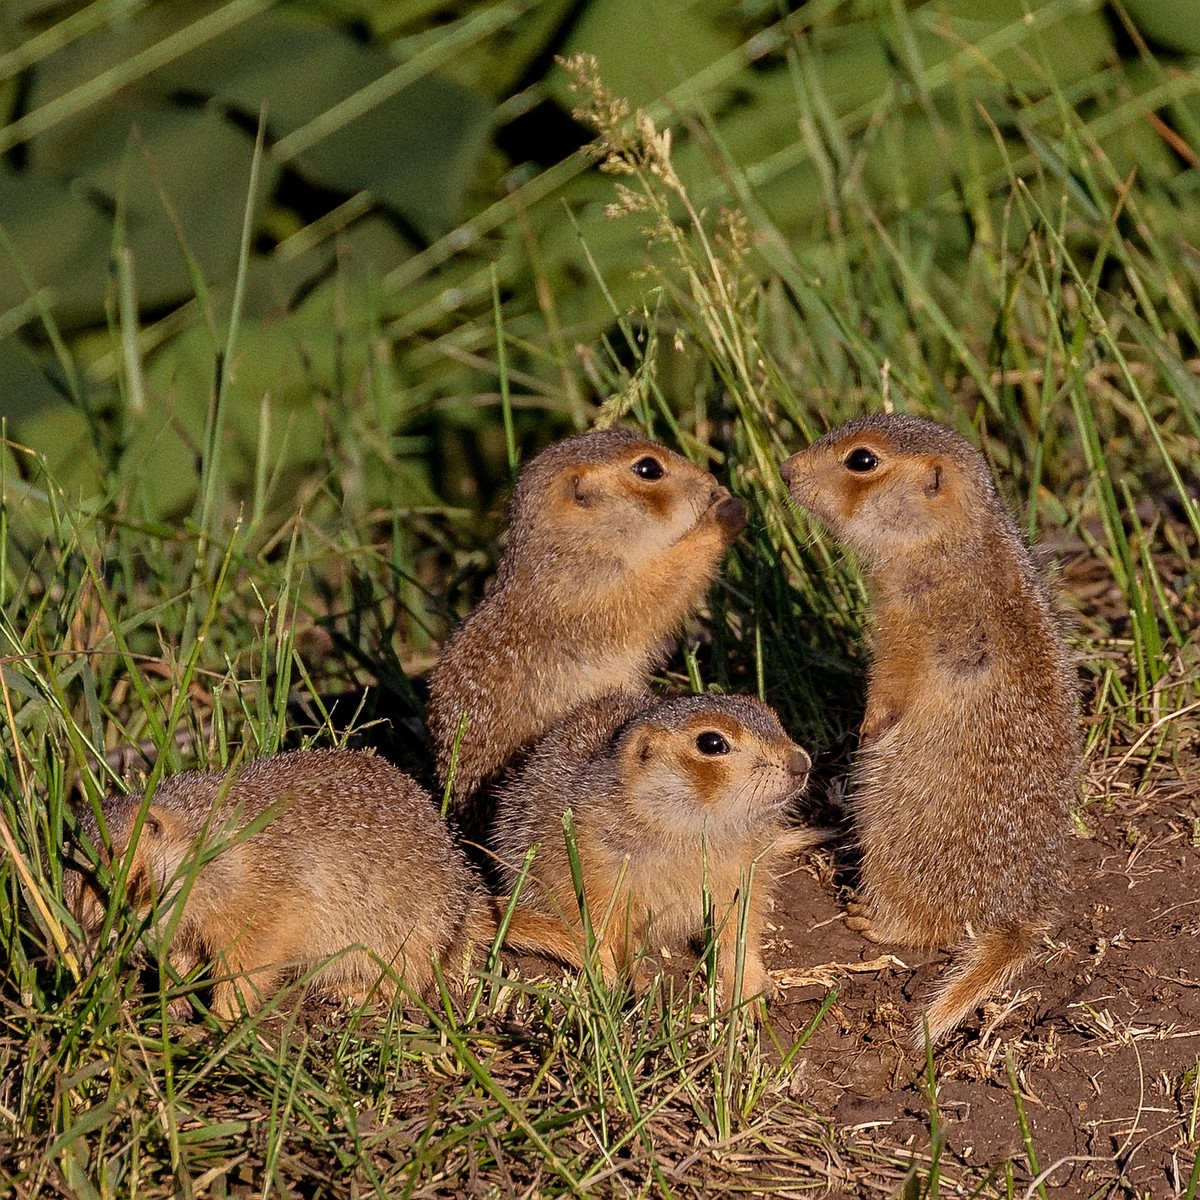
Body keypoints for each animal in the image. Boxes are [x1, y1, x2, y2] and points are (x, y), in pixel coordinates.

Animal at [66, 748, 580, 1012]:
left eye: (116, 862)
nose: (79, 920)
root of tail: (470, 908)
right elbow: (185, 952)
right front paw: (169, 995)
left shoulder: (261, 906)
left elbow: (249, 963)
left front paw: (224, 1017)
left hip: (401, 938)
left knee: (410, 982)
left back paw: (352, 992)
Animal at [427, 427, 744, 820]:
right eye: (648, 469)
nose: (711, 481)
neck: (572, 546)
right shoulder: (591, 588)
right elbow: (656, 588)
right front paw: (724, 513)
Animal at [489, 686, 816, 1003]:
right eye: (711, 743)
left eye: (771, 713)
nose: (802, 764)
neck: (693, 830)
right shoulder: (592, 879)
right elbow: (605, 935)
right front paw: (628, 980)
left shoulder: (745, 875)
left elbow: (740, 932)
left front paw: (750, 990)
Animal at [782, 410, 1084, 1041]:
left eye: (863, 460)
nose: (786, 470)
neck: (953, 544)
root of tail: (1015, 915)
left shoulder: (909, 625)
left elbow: (894, 681)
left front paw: (870, 728)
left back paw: (872, 919)